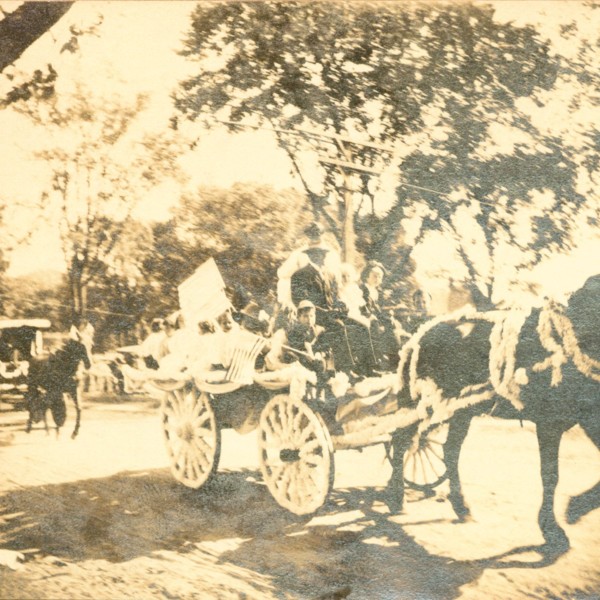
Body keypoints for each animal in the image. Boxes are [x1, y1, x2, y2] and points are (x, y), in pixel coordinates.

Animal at [384, 274, 600, 556]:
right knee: (401, 441)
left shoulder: (591, 419)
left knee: (449, 450)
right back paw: (396, 495)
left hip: (461, 410)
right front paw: (554, 528)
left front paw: (572, 511)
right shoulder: (549, 423)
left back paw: (459, 505)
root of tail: (419, 335)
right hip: (420, 402)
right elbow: (550, 475)